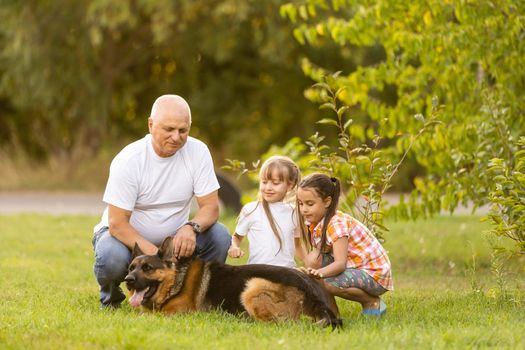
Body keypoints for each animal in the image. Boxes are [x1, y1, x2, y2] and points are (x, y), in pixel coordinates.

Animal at [125, 235, 342, 328]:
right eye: (131, 268)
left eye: (148, 268)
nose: (127, 280)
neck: (176, 280)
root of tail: (316, 296)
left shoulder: (175, 313)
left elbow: (143, 317)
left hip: (252, 286)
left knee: (277, 324)